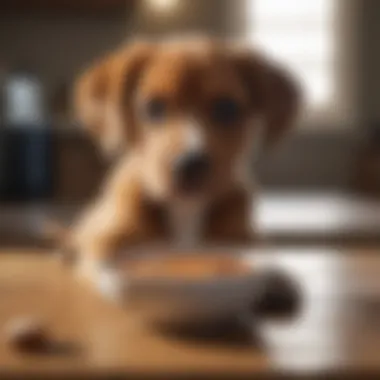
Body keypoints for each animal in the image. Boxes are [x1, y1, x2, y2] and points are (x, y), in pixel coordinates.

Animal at [67, 37, 300, 284]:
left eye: (226, 108)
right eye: (154, 107)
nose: (190, 165)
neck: (186, 209)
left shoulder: (244, 240)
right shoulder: (106, 240)